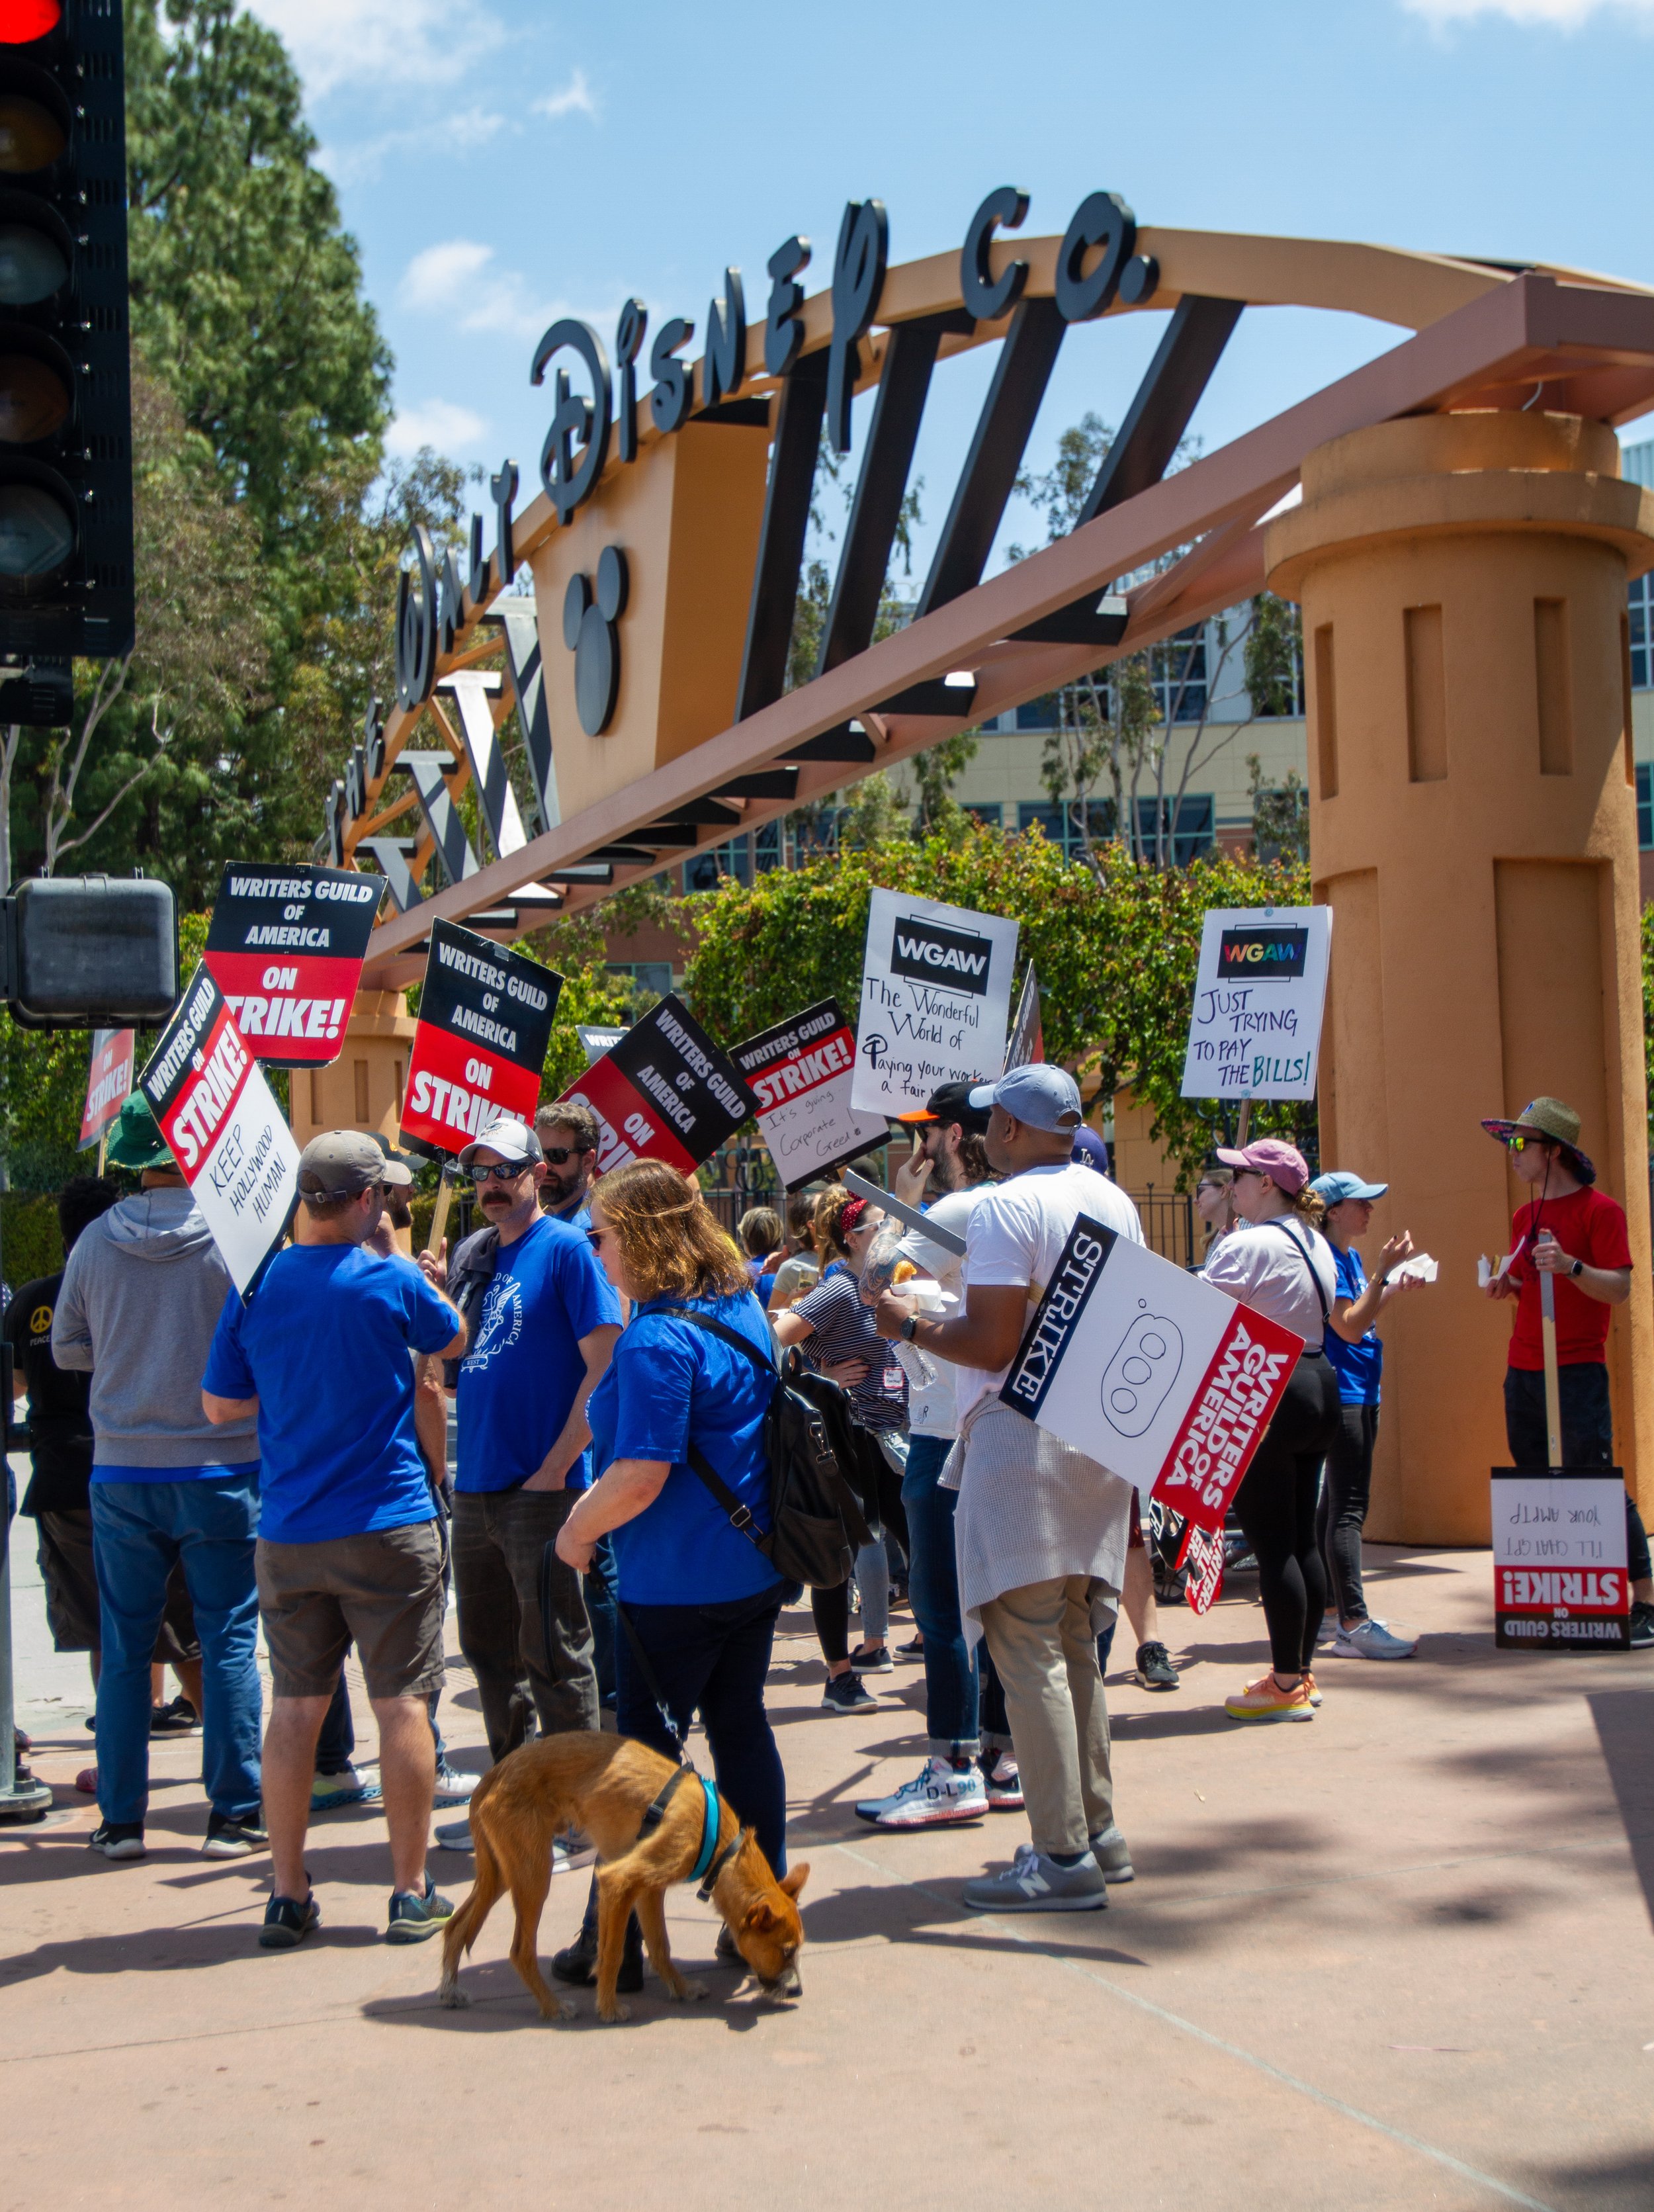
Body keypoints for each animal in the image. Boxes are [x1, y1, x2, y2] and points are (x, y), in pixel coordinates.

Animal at [435, 1734, 805, 2026]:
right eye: (786, 1950)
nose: (798, 1990)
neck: (725, 1849)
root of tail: (494, 1773)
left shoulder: (649, 1890)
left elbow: (660, 1945)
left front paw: (681, 1988)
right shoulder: (618, 1881)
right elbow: (611, 1953)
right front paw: (609, 2008)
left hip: (503, 1872)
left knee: (456, 1926)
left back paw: (450, 1991)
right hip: (533, 1875)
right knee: (520, 1951)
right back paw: (552, 2007)